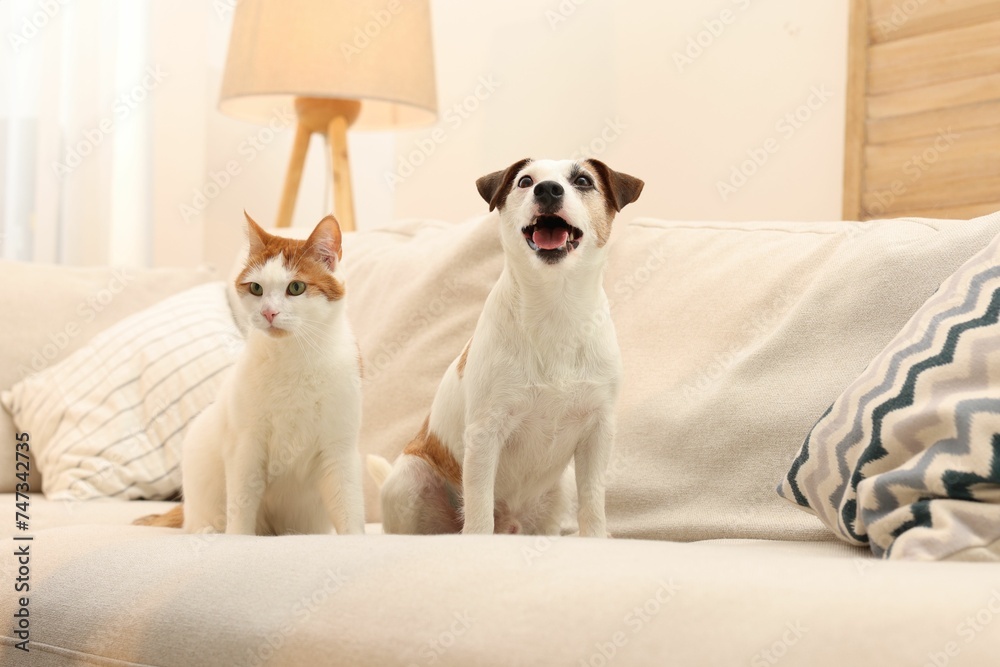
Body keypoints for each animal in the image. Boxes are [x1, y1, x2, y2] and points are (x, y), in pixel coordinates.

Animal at [135, 214, 364, 536]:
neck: (293, 358)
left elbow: (348, 504)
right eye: (256, 288)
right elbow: (242, 499)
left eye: (296, 287)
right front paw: (238, 538)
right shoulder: (246, 446)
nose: (269, 312)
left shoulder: (339, 447)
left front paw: (354, 538)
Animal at [366, 158, 640, 536]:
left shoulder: (598, 432)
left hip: (558, 492)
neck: (554, 309)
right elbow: (479, 502)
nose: (548, 189)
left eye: (583, 180)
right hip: (410, 478)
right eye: (525, 181)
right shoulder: (485, 433)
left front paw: (597, 537)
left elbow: (593, 501)